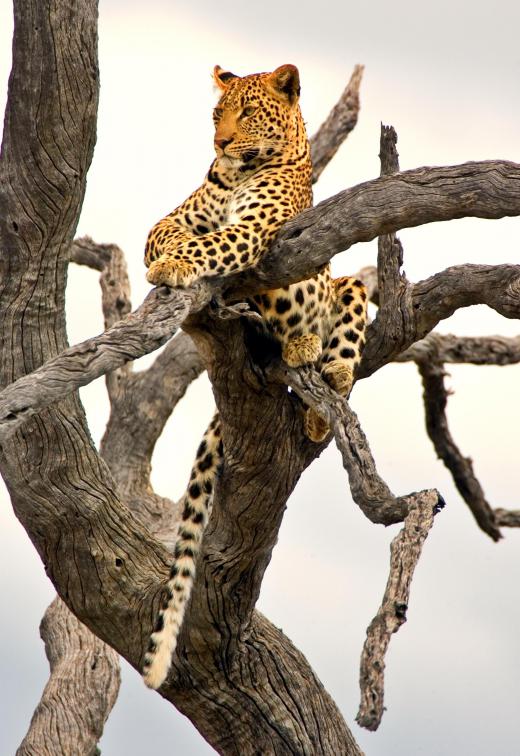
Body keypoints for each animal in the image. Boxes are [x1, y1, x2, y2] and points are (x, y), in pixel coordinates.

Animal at [142, 66, 368, 692]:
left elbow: (213, 243)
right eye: (216, 114)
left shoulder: (255, 230)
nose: (219, 145)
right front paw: (167, 256)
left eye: (246, 113)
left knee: (344, 334)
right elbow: (167, 231)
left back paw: (317, 370)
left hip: (349, 287)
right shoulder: (179, 213)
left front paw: (177, 263)